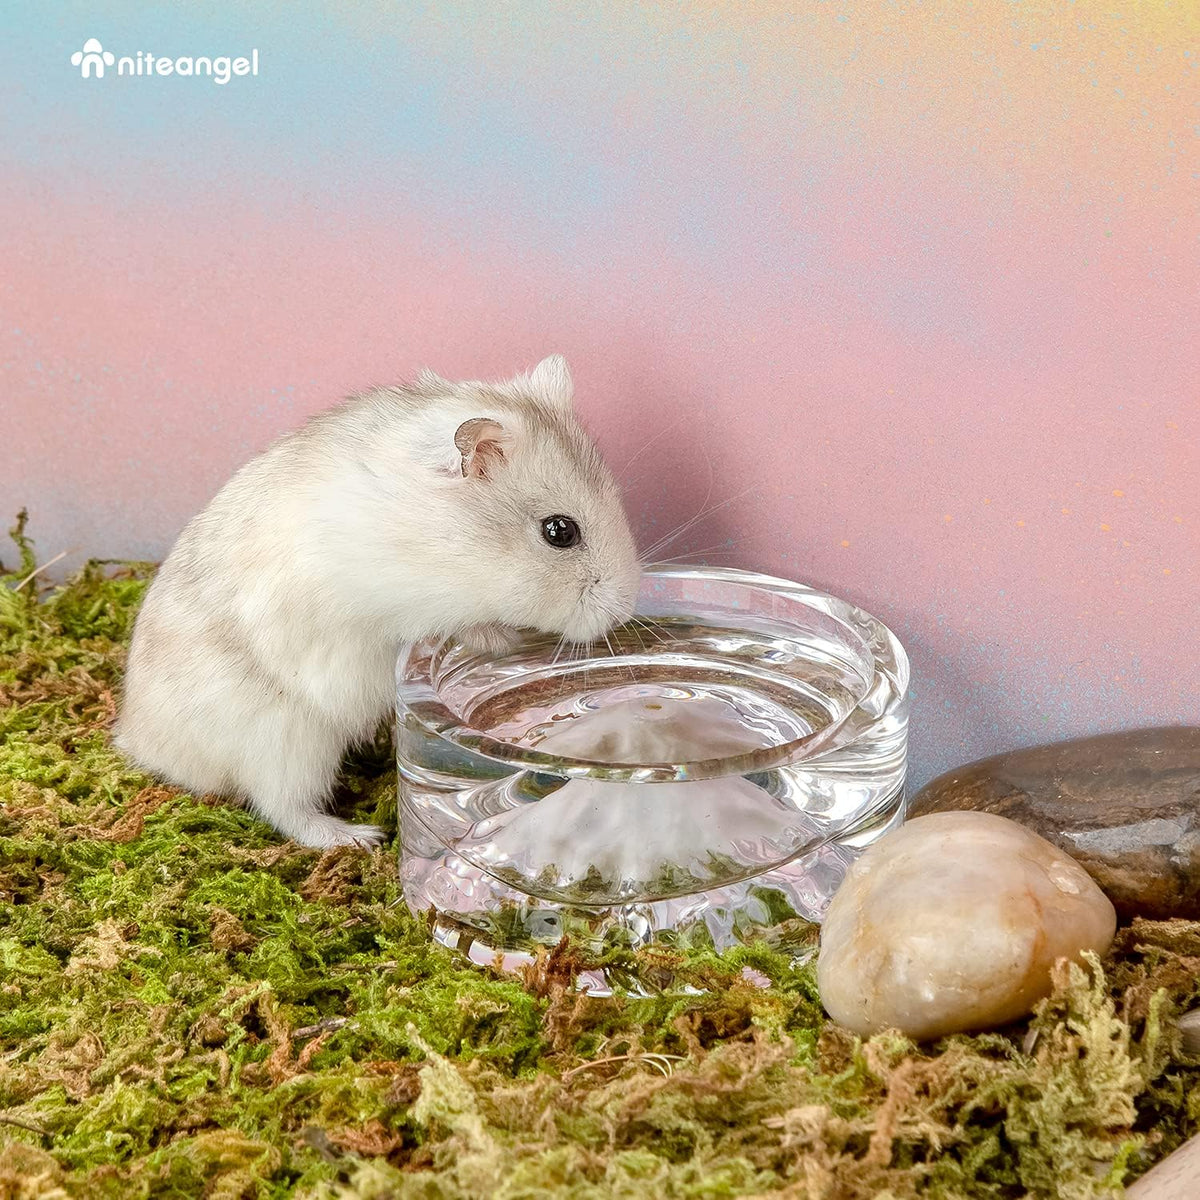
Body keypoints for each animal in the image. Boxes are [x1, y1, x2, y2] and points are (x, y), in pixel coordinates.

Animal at [113, 356, 642, 849]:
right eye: (560, 531)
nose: (624, 611)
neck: (437, 533)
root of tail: (138, 742)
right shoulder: (387, 605)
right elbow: (452, 626)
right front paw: (504, 639)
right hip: (287, 742)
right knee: (284, 809)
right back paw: (358, 837)